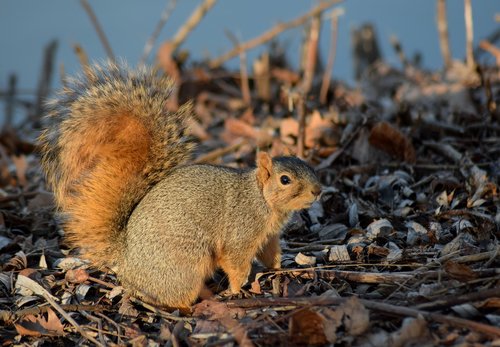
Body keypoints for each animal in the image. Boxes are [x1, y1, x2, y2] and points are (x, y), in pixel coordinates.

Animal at [38, 61, 320, 310]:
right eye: (285, 179)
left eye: (308, 165)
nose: (318, 191)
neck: (261, 200)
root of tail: (126, 258)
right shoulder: (240, 233)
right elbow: (235, 263)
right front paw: (237, 289)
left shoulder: (269, 236)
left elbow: (271, 254)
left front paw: (280, 269)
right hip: (187, 264)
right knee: (175, 297)